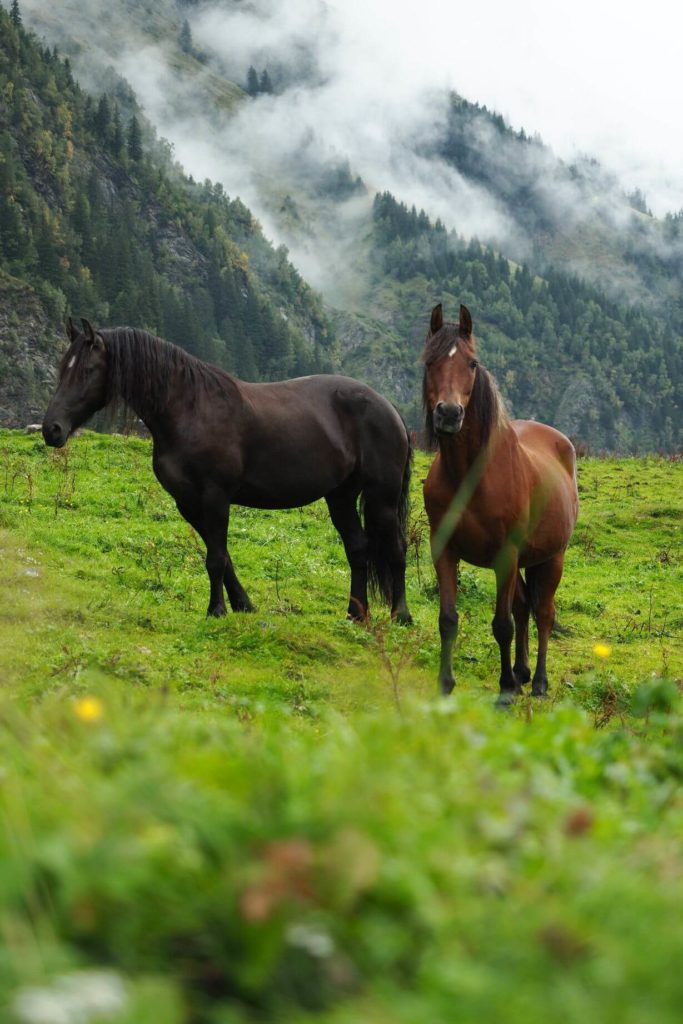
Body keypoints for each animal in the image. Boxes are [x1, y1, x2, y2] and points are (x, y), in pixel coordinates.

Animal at [44, 319, 417, 622]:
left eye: (87, 371)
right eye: (63, 368)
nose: (52, 430)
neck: (189, 410)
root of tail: (387, 406)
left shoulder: (215, 497)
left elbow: (215, 559)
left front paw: (217, 611)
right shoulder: (189, 503)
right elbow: (222, 556)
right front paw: (243, 605)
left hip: (382, 497)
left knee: (396, 549)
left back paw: (401, 616)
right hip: (340, 497)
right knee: (358, 547)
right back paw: (355, 614)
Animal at [421, 303, 577, 704]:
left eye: (472, 363)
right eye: (429, 361)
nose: (449, 414)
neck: (470, 476)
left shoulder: (505, 555)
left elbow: (502, 624)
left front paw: (505, 691)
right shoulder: (444, 550)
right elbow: (448, 619)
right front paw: (445, 685)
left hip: (551, 558)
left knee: (542, 613)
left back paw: (537, 682)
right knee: (523, 607)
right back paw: (522, 673)